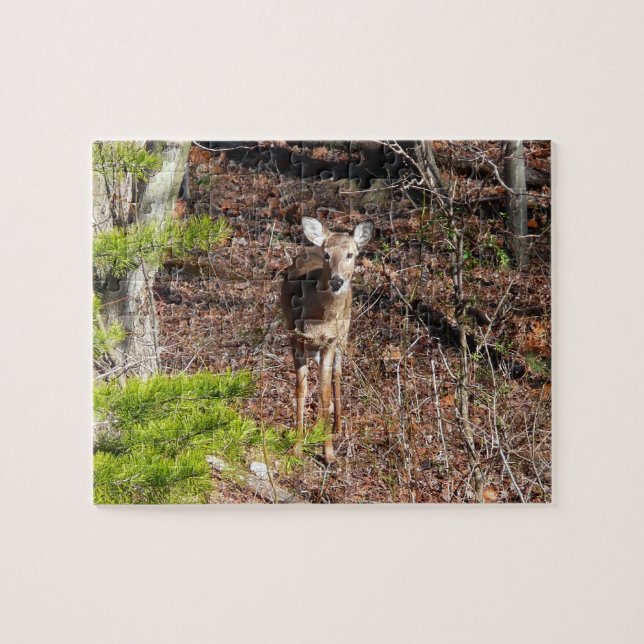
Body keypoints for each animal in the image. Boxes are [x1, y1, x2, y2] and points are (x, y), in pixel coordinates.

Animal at [281, 216, 374, 464]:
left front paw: (329, 453)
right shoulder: (296, 337)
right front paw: (296, 447)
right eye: (327, 254)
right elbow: (301, 389)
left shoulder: (330, 341)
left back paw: (336, 427)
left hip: (344, 334)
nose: (336, 282)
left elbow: (323, 392)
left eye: (351, 254)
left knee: (337, 376)